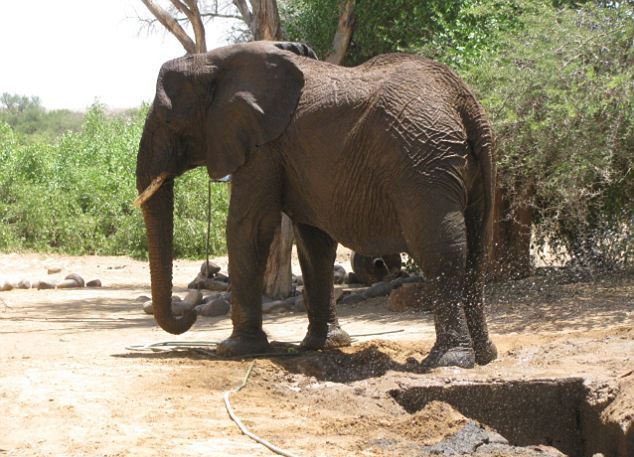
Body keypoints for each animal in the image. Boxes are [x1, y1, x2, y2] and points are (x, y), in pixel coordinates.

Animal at [136, 39, 496, 366]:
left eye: (168, 121)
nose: (190, 316)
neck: (216, 59)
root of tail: (464, 103)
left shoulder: (263, 147)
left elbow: (250, 225)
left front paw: (234, 349)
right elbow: (314, 244)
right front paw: (322, 346)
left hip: (422, 164)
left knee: (441, 250)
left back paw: (448, 361)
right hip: (462, 164)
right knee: (477, 251)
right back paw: (484, 356)